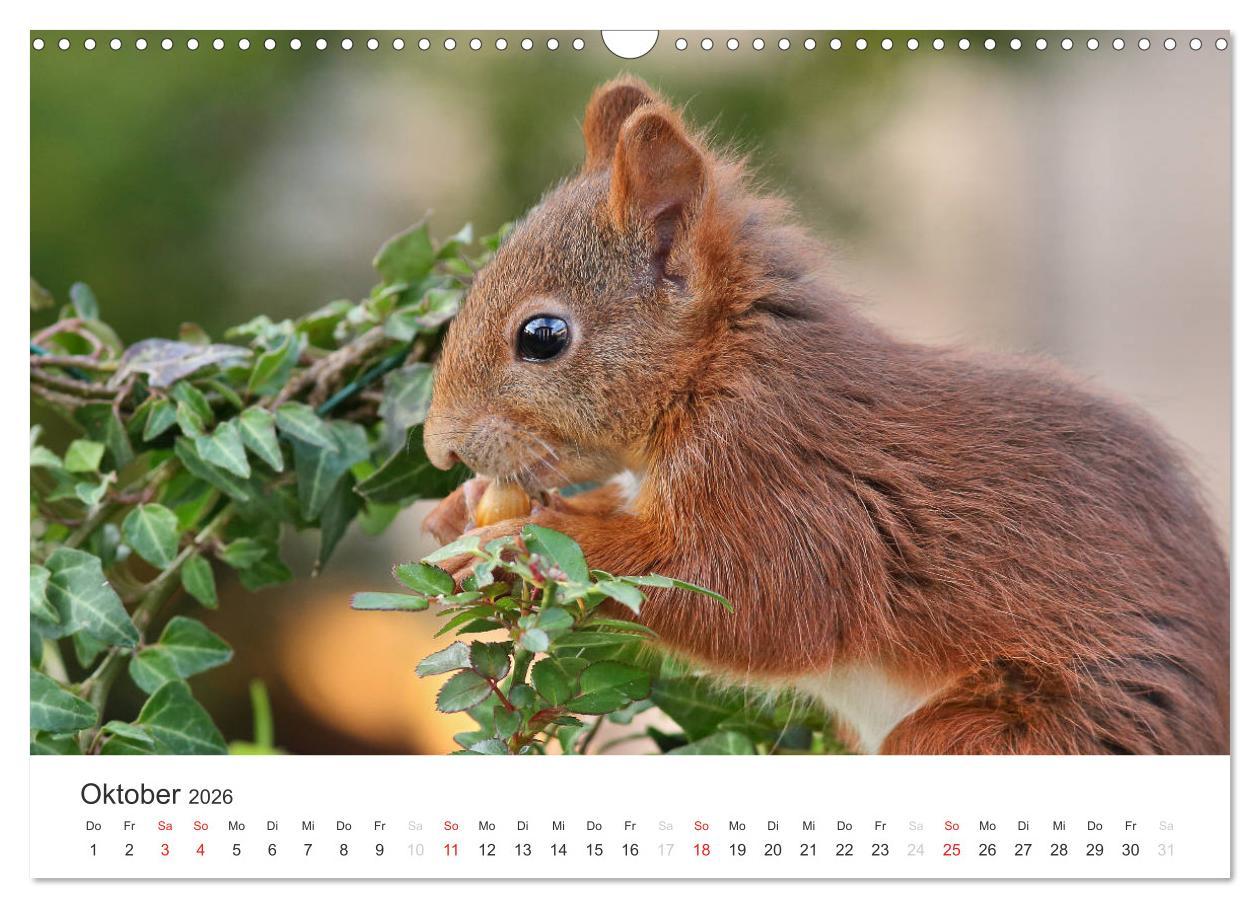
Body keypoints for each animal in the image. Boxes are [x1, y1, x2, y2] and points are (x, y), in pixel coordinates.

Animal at [420, 75, 1230, 755]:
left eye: (542, 336)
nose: (438, 451)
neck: (718, 371)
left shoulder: (786, 476)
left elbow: (758, 603)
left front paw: (521, 543)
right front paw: (460, 512)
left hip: (1029, 732)